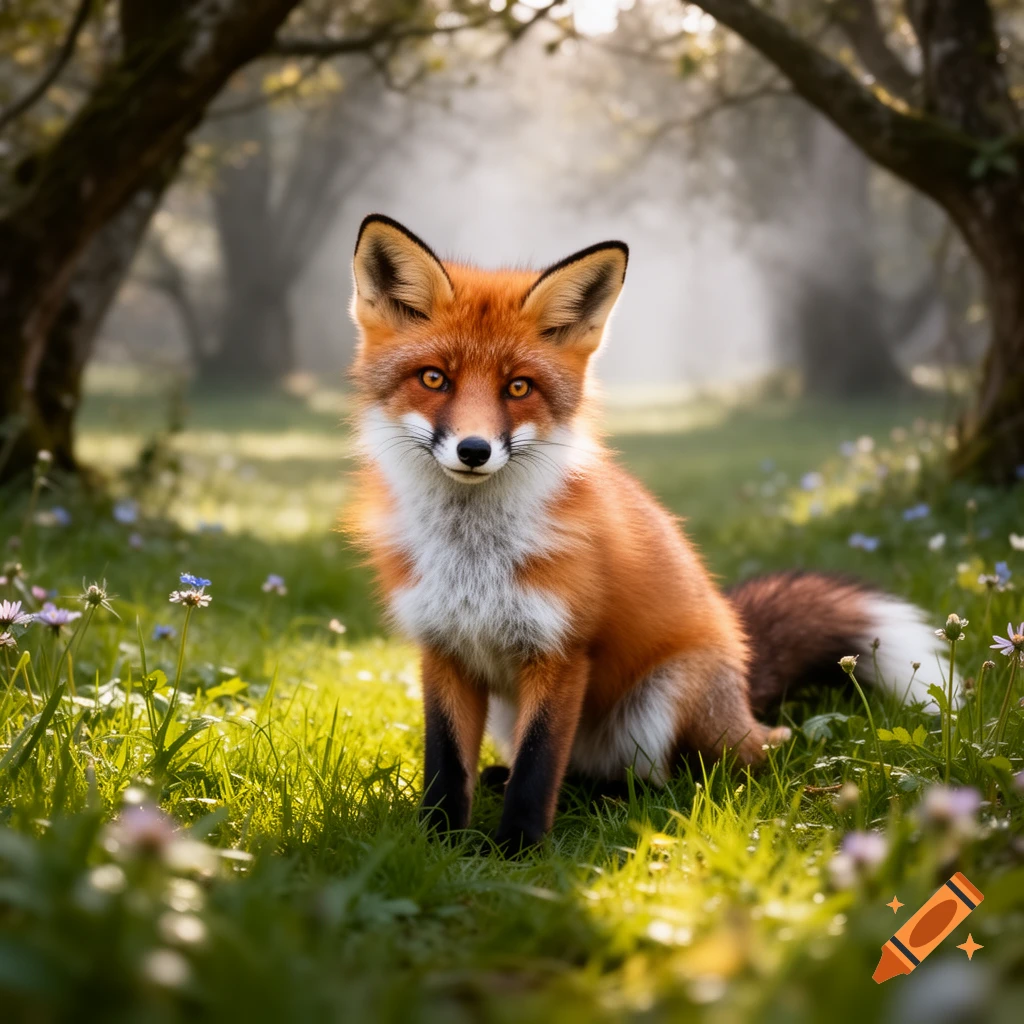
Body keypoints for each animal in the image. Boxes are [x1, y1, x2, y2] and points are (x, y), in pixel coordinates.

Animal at [347, 213, 955, 852]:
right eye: (434, 378)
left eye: (518, 388)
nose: (473, 450)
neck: (472, 558)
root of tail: (744, 697)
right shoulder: (444, 649)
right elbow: (445, 764)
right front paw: (437, 843)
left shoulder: (562, 652)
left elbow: (539, 769)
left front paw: (517, 851)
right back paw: (509, 778)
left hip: (662, 704)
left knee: (668, 782)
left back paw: (603, 798)